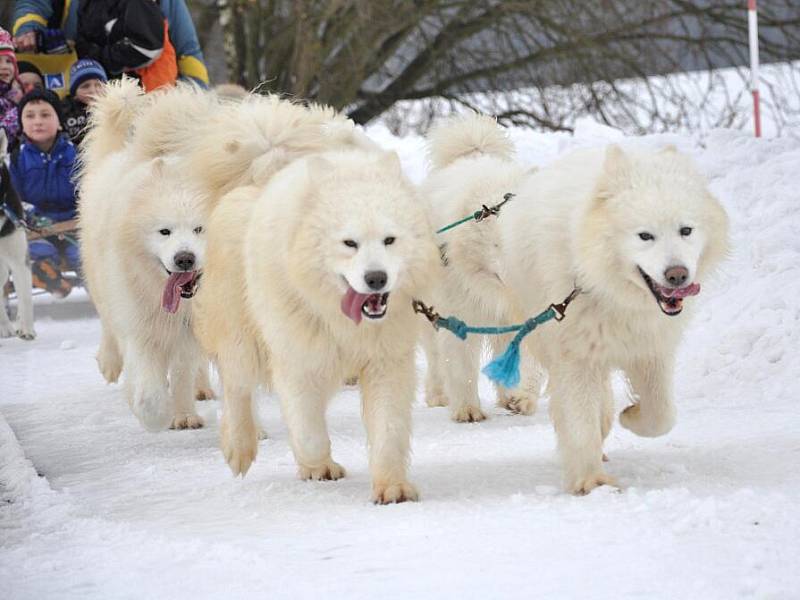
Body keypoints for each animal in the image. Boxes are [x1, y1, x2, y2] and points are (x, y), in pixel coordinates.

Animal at [79, 81, 212, 432]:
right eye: (164, 231)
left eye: (200, 229)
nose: (184, 259)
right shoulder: (140, 327)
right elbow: (147, 385)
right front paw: (153, 415)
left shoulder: (189, 333)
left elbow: (182, 373)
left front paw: (184, 414)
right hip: (102, 285)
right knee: (109, 326)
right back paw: (110, 364)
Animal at [197, 149, 440, 502]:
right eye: (349, 243)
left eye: (389, 240)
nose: (376, 278)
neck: (343, 320)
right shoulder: (298, 359)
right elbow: (308, 431)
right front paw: (318, 467)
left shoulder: (386, 361)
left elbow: (389, 429)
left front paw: (392, 487)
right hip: (243, 340)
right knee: (236, 388)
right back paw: (239, 448)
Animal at [424, 115, 732, 494]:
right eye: (645, 235)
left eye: (686, 230)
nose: (678, 275)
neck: (605, 285)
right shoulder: (563, 343)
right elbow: (466, 367)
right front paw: (592, 482)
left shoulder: (648, 347)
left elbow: (661, 414)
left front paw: (628, 417)